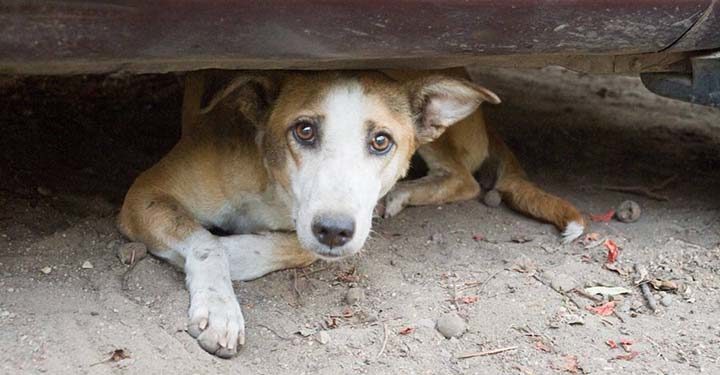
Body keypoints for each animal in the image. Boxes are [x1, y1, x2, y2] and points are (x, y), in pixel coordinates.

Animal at [115, 69, 584, 360]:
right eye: (304, 130)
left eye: (381, 141)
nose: (333, 230)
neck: (273, 185)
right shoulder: (144, 194)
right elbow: (206, 241)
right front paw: (219, 306)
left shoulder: (333, 229)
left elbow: (287, 247)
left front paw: (235, 256)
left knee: (464, 179)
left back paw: (400, 194)